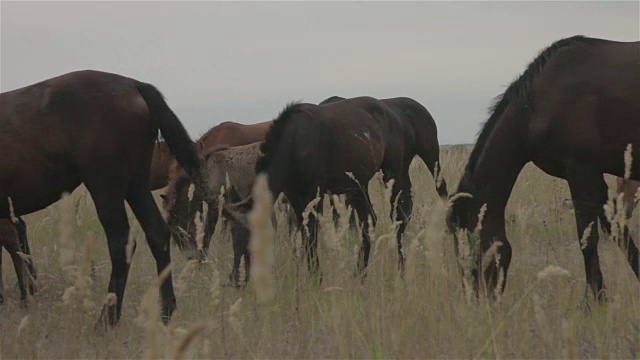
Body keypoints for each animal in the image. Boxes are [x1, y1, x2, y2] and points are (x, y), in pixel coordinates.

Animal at [0, 69, 204, 326]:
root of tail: (135, 85)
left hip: (106, 188)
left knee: (121, 243)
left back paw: (106, 320)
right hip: (135, 185)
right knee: (157, 234)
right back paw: (165, 312)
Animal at [254, 96, 444, 282]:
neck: (294, 141)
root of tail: (393, 113)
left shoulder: (314, 194)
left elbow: (312, 233)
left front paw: (316, 277)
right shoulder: (294, 196)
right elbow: (306, 231)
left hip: (397, 170)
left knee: (404, 213)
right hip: (361, 185)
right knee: (374, 219)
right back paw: (363, 273)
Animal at [444, 35, 640, 300]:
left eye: (472, 253)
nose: (479, 301)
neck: (537, 106)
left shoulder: (581, 174)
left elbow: (588, 241)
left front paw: (594, 303)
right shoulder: (594, 183)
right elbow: (618, 232)